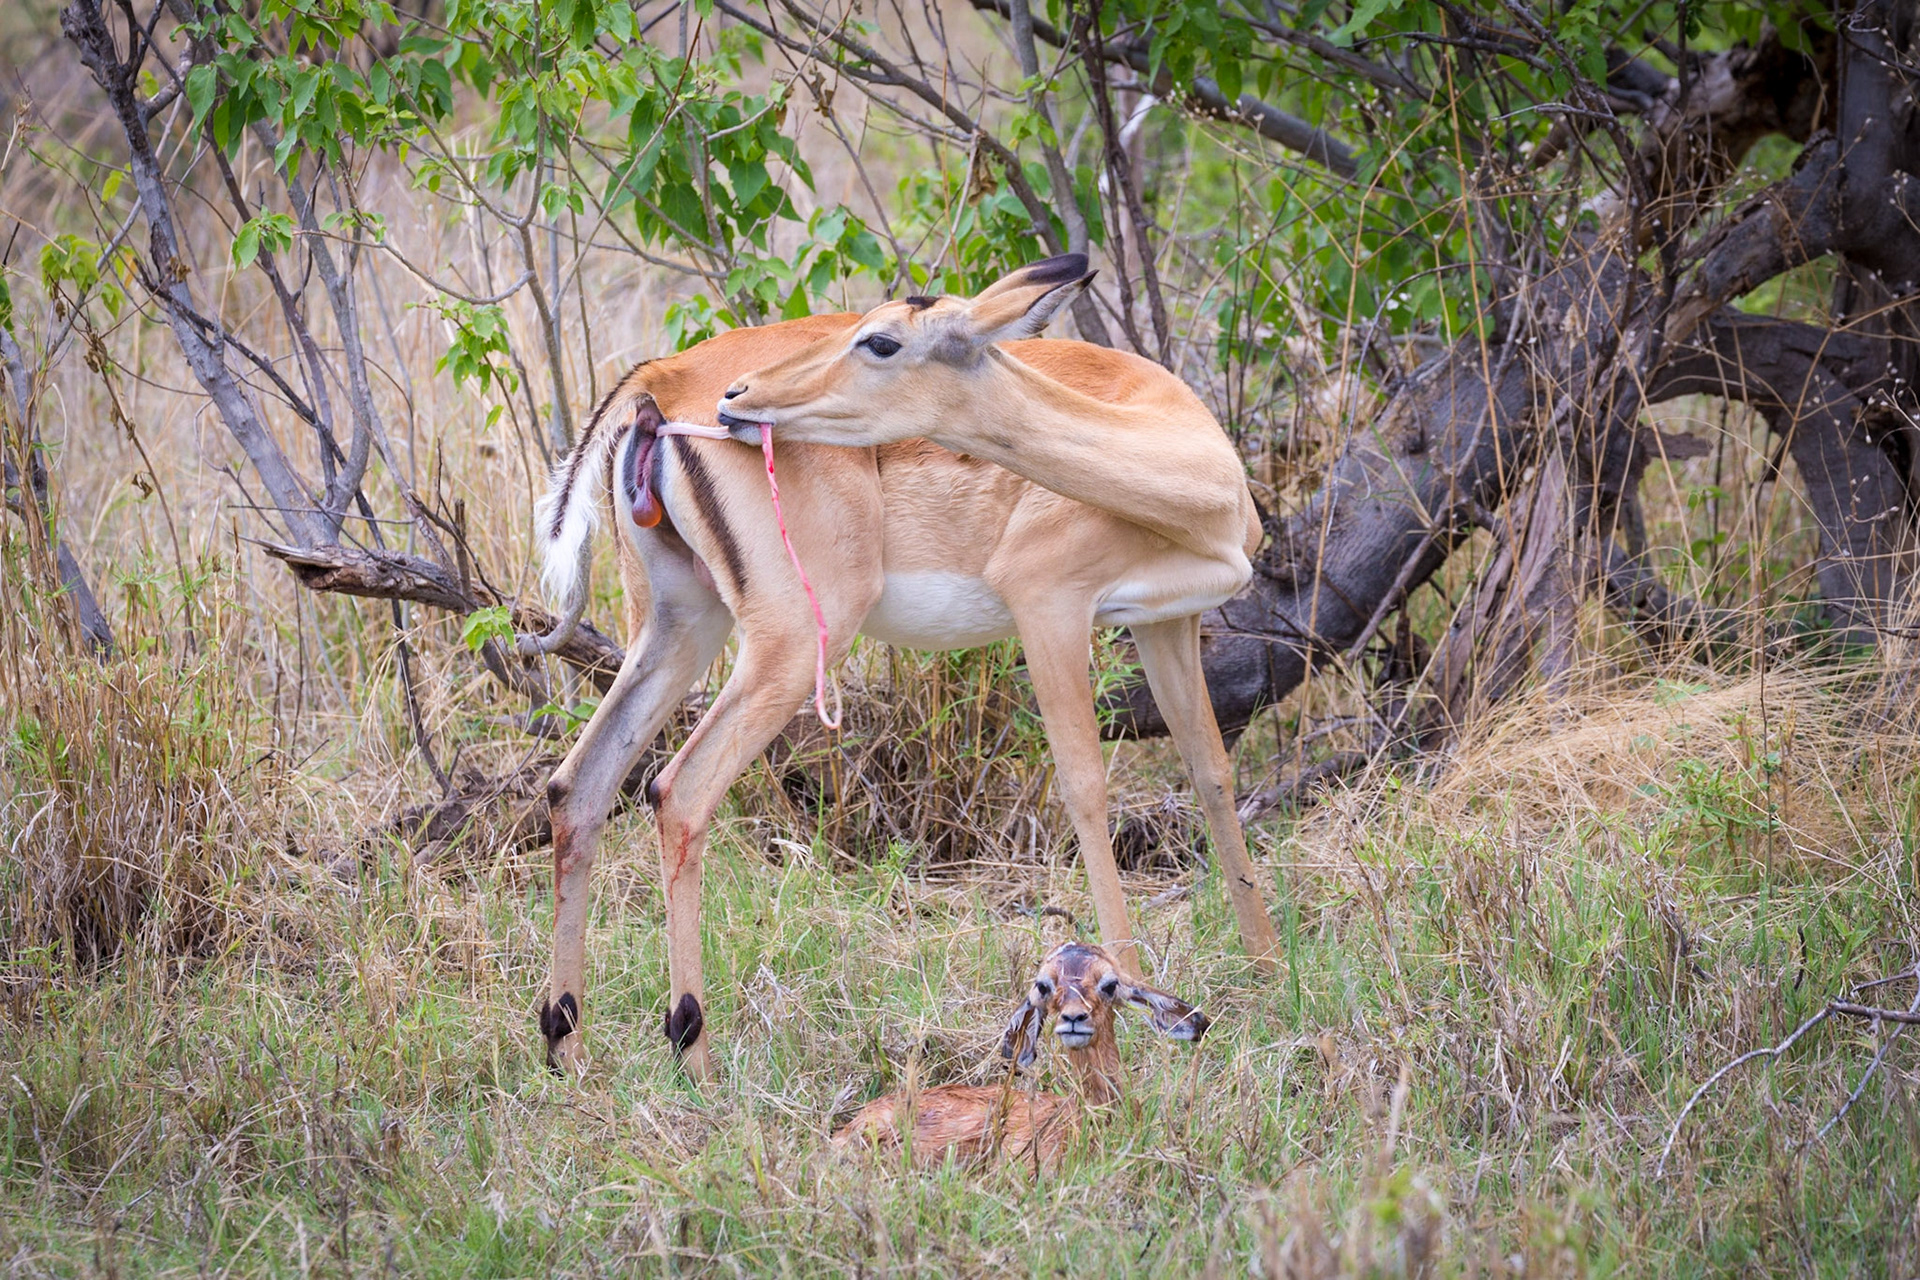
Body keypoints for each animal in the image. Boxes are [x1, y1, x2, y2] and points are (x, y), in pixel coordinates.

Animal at [528, 254, 1278, 1080]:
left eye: (882, 340)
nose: (740, 398)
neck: (1177, 451)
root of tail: (660, 376)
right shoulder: (1050, 605)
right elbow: (1086, 788)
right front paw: (1128, 990)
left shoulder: (1166, 619)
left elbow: (1211, 772)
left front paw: (1270, 967)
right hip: (792, 641)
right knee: (678, 792)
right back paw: (691, 1051)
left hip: (681, 624)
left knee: (579, 785)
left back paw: (566, 1042)